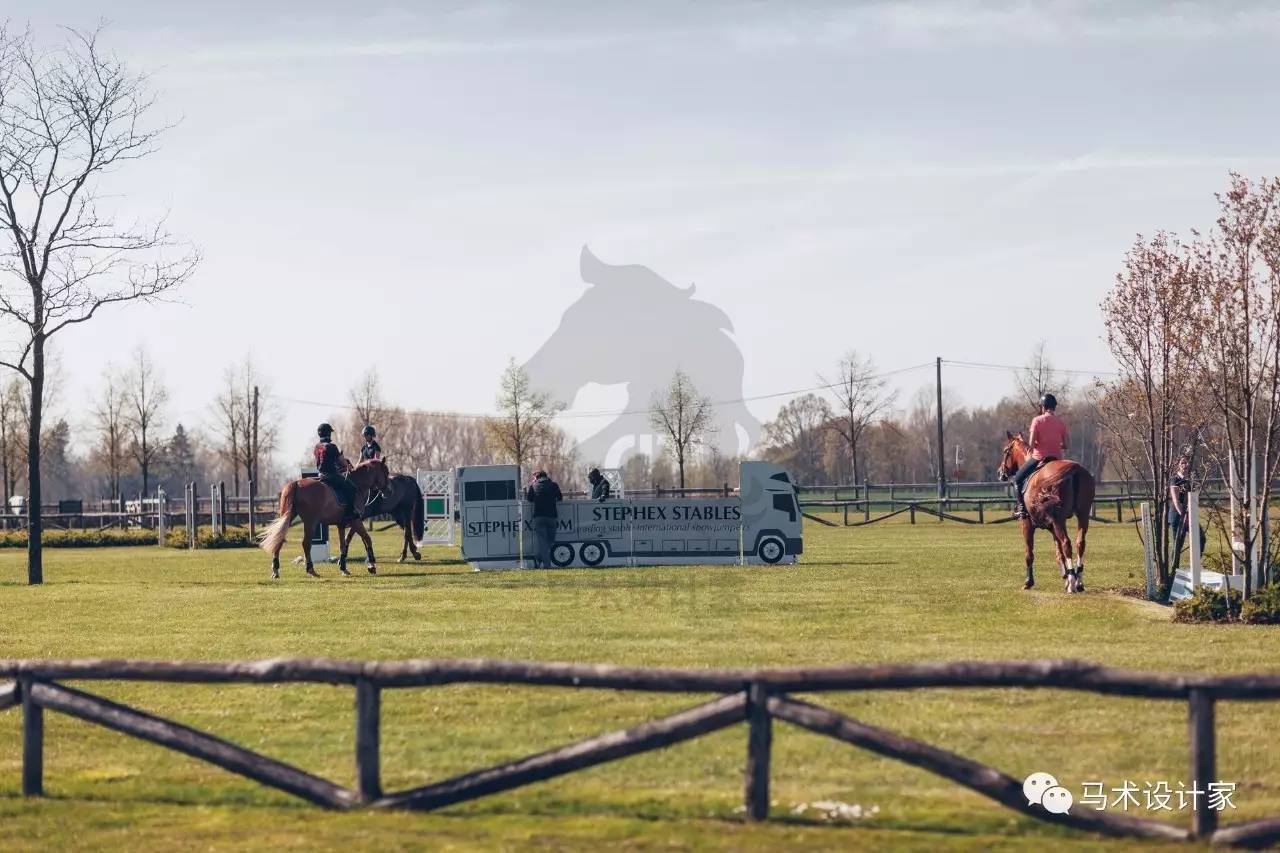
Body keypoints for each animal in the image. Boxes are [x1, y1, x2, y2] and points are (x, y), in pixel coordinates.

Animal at [258, 458, 389, 578]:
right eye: (386, 472)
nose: (388, 491)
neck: (358, 485)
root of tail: (297, 483)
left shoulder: (342, 525)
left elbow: (344, 545)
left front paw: (343, 567)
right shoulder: (356, 521)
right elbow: (367, 539)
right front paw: (371, 565)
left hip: (288, 518)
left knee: (279, 539)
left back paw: (276, 570)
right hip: (310, 522)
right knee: (306, 543)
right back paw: (310, 569)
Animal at [993, 432, 1095, 591]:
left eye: (1005, 451)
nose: (1000, 472)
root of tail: (1075, 470)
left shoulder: (1027, 524)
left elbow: (1029, 553)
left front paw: (1029, 581)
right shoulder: (1053, 527)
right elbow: (1059, 553)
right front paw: (1065, 576)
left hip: (1059, 519)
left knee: (1067, 543)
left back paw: (1073, 582)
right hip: (1082, 515)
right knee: (1080, 543)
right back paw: (1078, 580)